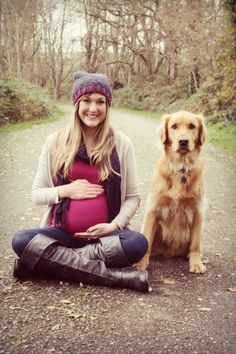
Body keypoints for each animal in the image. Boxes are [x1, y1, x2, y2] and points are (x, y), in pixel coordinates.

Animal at [136, 110, 206, 274]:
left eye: (192, 126)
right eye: (174, 126)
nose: (183, 141)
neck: (181, 168)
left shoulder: (197, 211)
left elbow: (195, 244)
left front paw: (196, 263)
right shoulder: (153, 209)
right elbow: (146, 240)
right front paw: (141, 264)